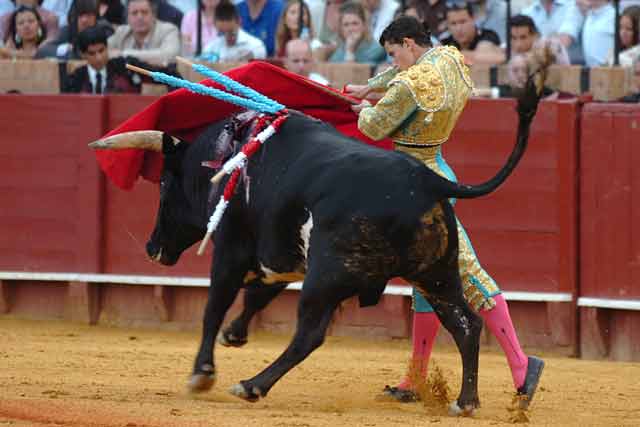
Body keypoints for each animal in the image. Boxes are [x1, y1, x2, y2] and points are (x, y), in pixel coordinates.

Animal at [92, 79, 544, 414]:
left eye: (164, 184)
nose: (151, 247)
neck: (229, 153)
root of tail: (429, 182)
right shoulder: (281, 253)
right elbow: (257, 294)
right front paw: (234, 335)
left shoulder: (231, 250)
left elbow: (215, 305)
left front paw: (202, 373)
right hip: (436, 274)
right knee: (465, 323)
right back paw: (467, 401)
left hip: (327, 275)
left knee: (309, 335)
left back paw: (252, 386)